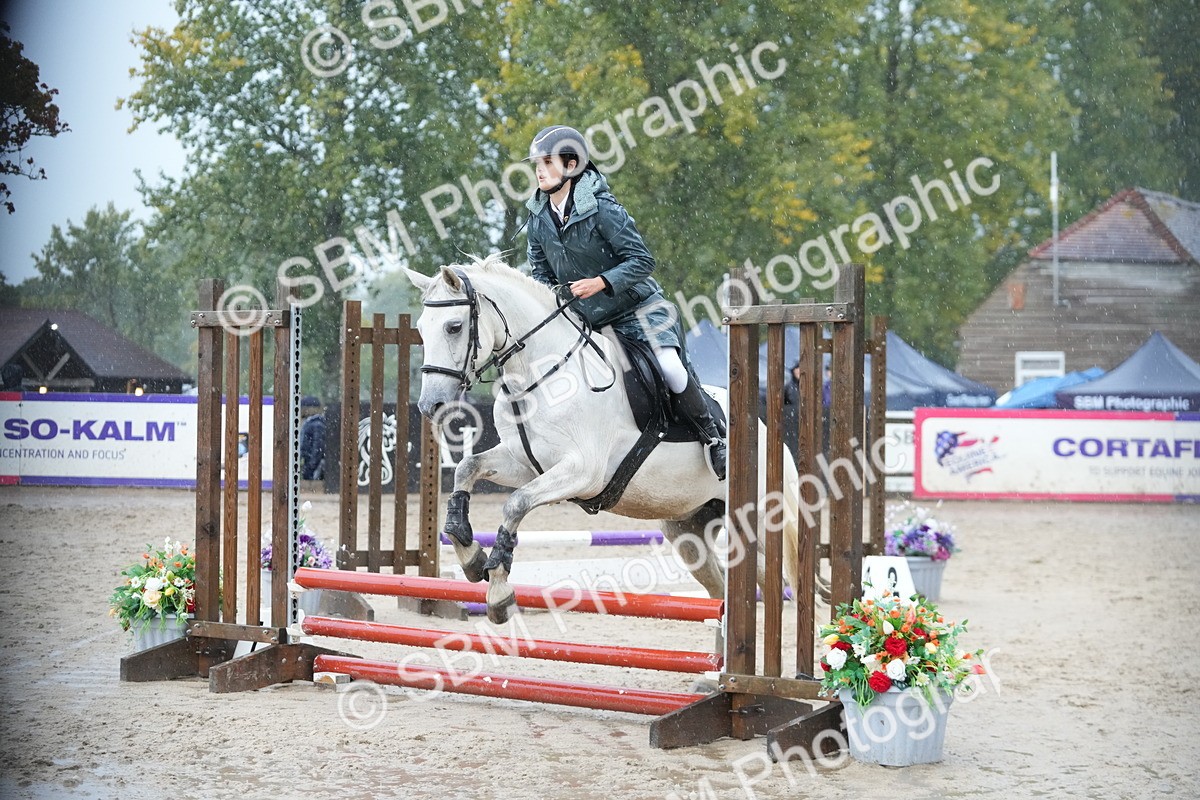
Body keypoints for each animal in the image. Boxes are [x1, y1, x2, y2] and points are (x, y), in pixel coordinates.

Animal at [405, 254, 805, 624]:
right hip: (690, 530)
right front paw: (469, 553)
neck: (540, 374)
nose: (430, 405)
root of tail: (767, 432)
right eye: (421, 329)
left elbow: (516, 504)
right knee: (728, 586)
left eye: (454, 327)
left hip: (760, 521)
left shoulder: (583, 472)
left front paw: (499, 590)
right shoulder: (524, 463)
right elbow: (467, 468)